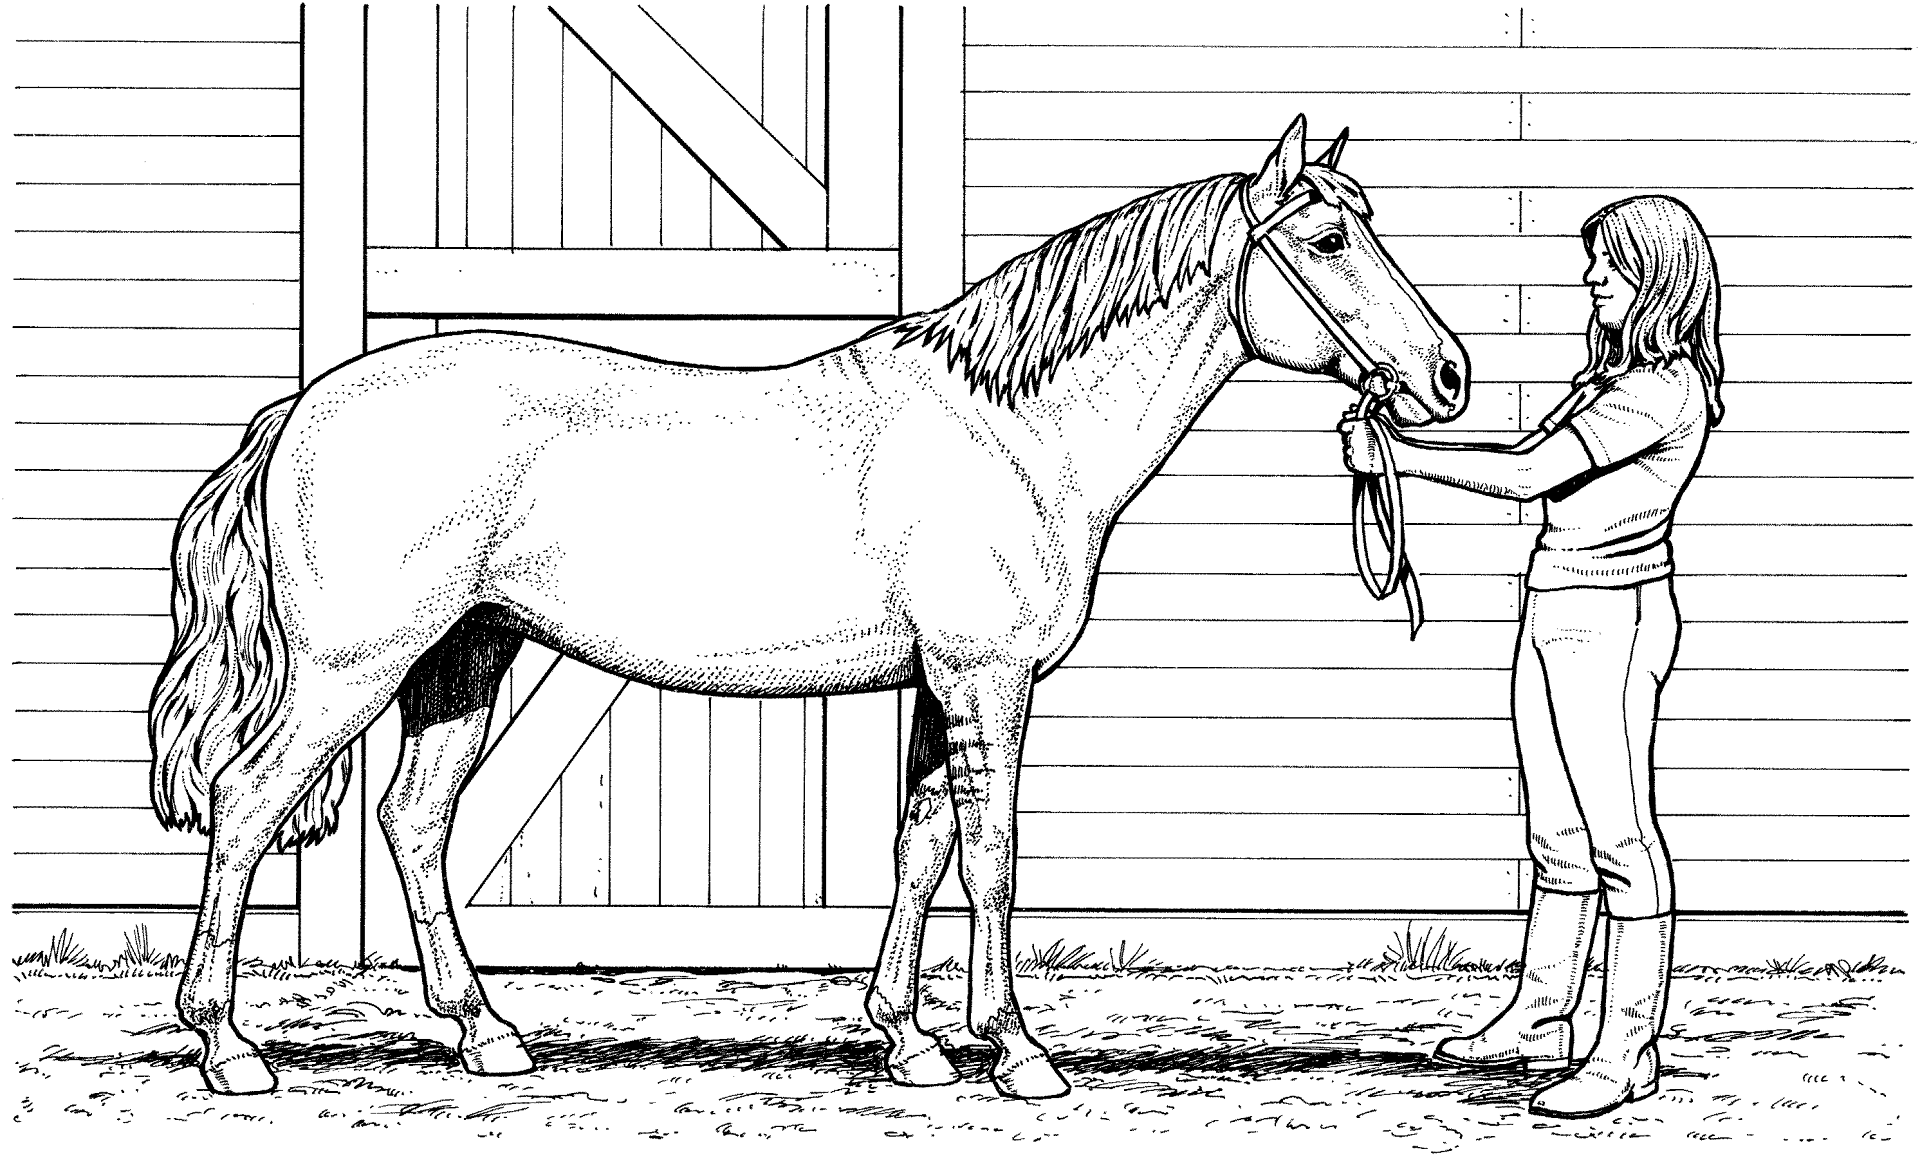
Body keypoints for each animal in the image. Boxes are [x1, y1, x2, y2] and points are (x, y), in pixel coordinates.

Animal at [149, 114, 1468, 1101]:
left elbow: (922, 846)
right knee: (250, 802)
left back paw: (486, 1034)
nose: (1448, 375)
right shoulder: (986, 676)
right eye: (1328, 237)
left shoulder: (938, 684)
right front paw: (1020, 1052)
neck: (1015, 429)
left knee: (415, 821)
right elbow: (993, 855)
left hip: (463, 659)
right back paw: (229, 1045)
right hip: (351, 667)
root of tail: (303, 408)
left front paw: (911, 1040)